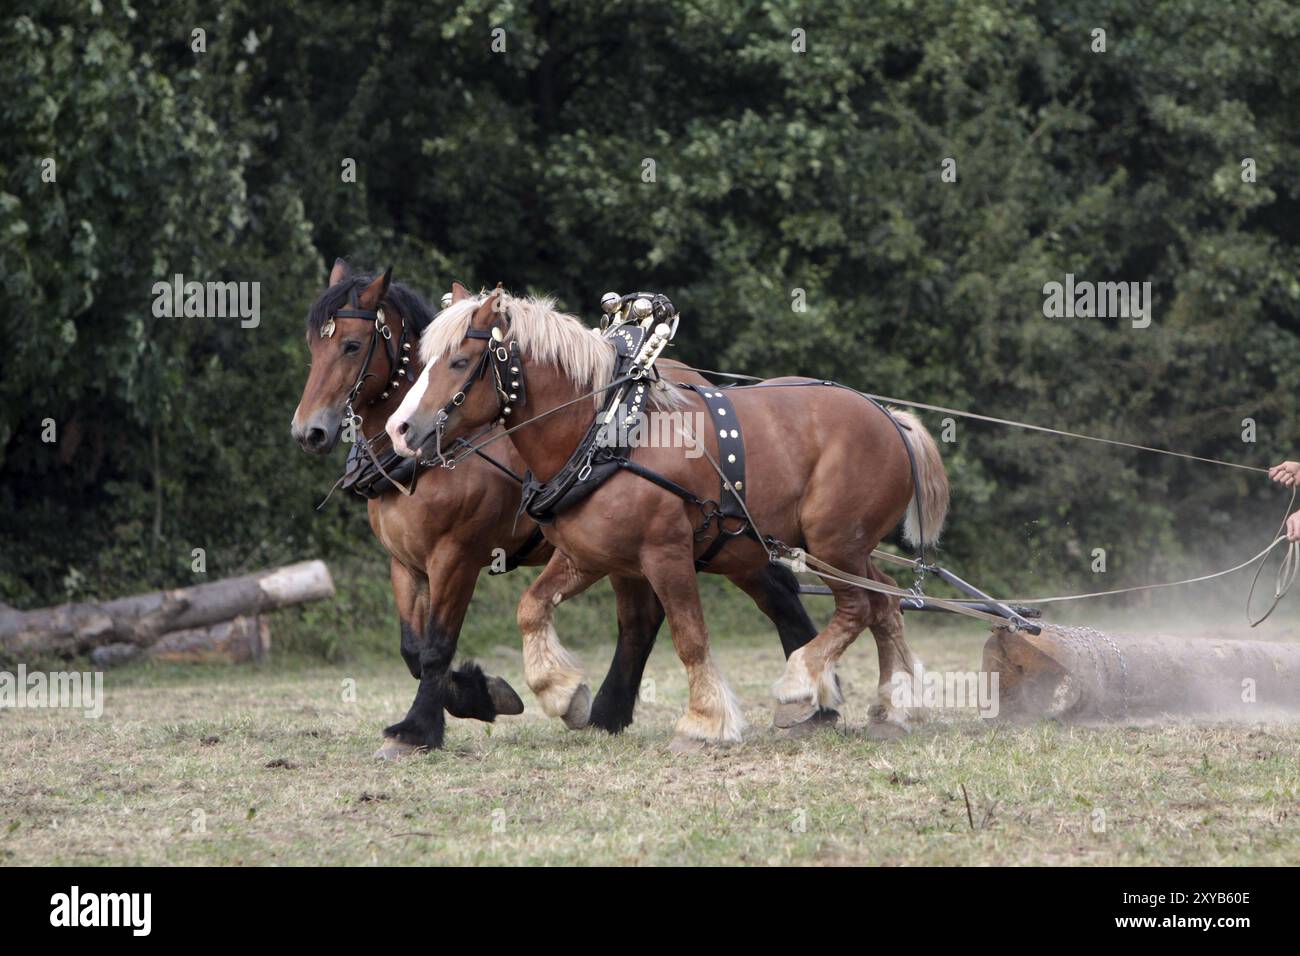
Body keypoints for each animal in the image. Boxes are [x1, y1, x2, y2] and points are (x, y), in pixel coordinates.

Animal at [296, 261, 821, 754]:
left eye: (352, 345)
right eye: (312, 345)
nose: (309, 432)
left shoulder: (456, 557)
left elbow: (436, 646)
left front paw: (425, 725)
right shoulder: (405, 561)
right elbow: (411, 647)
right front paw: (478, 694)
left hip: (715, 542)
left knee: (772, 595)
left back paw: (809, 700)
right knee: (644, 620)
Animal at [379, 287, 951, 749]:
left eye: (459, 361)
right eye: (423, 359)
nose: (399, 430)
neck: (605, 429)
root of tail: (889, 418)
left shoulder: (666, 553)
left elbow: (690, 637)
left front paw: (704, 722)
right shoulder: (590, 554)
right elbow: (531, 607)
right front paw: (562, 692)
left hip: (833, 543)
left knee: (858, 607)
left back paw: (800, 684)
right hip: (845, 549)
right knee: (886, 602)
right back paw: (892, 707)